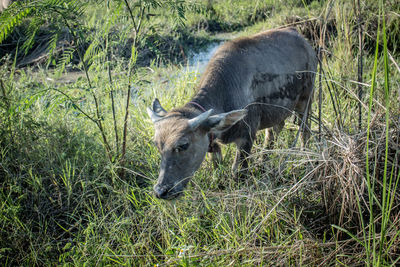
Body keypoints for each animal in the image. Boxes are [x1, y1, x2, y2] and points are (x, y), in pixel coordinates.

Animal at [147, 28, 316, 201]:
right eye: (157, 145)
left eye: (183, 145)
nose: (161, 191)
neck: (225, 93)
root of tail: (301, 38)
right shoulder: (213, 142)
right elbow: (217, 167)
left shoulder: (247, 137)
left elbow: (237, 171)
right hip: (277, 111)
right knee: (273, 131)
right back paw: (263, 160)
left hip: (306, 99)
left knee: (305, 130)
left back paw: (305, 156)